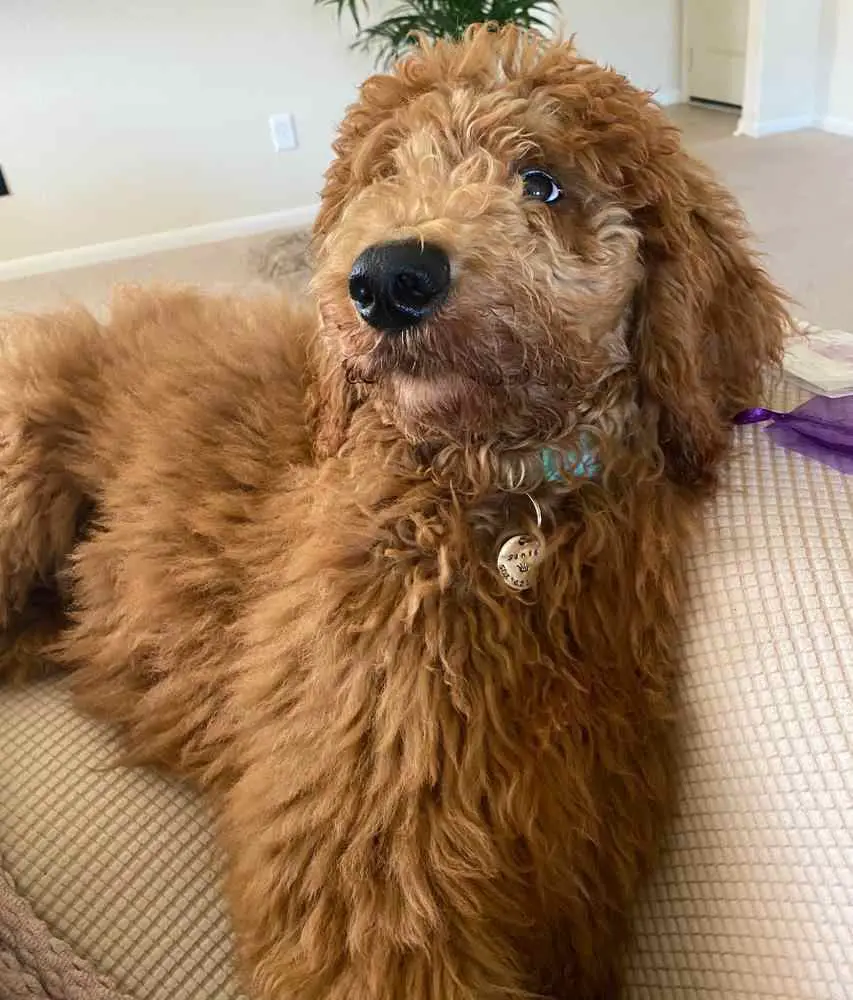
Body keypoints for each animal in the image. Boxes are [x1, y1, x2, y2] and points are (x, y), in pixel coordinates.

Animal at [0, 23, 784, 1000]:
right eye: (386, 172)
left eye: (542, 179)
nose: (386, 278)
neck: (495, 502)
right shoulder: (368, 859)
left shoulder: (573, 856)